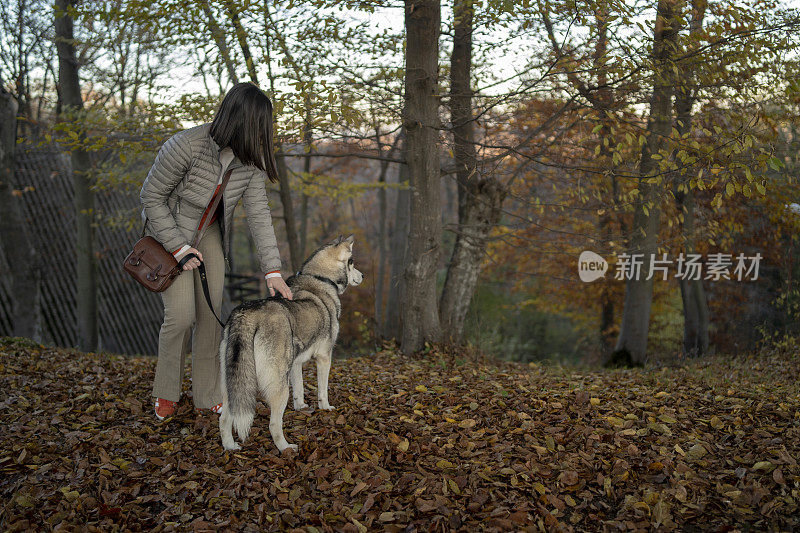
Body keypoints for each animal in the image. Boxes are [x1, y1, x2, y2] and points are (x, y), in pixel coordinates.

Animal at [216, 233, 360, 448]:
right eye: (352, 263)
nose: (362, 276)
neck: (320, 278)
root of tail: (246, 314)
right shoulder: (324, 357)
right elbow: (323, 390)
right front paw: (325, 407)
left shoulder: (296, 363)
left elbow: (299, 388)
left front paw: (301, 407)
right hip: (278, 385)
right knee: (274, 425)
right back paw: (286, 448)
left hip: (233, 384)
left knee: (225, 418)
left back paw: (230, 446)